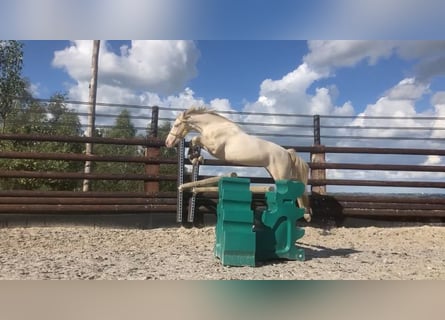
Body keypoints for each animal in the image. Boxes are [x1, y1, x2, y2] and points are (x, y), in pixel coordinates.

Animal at [164, 106, 312, 221]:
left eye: (176, 125)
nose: (168, 142)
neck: (214, 127)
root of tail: (286, 152)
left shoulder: (214, 148)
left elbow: (195, 139)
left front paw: (195, 157)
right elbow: (195, 141)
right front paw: (196, 158)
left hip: (281, 176)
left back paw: (302, 215)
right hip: (278, 175)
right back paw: (305, 215)